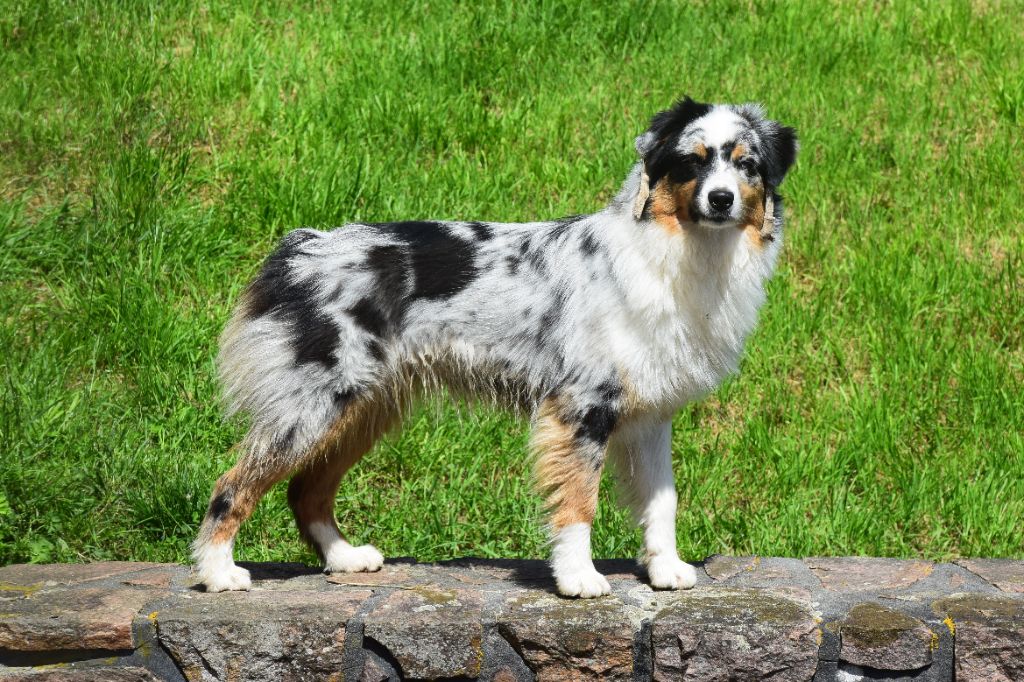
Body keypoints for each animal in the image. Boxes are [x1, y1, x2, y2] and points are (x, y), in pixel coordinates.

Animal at [193, 95, 798, 593]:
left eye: (746, 164)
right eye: (692, 162)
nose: (720, 199)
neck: (679, 254)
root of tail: (300, 247)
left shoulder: (649, 414)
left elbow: (662, 501)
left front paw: (666, 570)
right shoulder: (581, 407)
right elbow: (578, 501)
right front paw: (579, 579)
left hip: (365, 408)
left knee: (306, 490)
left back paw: (344, 558)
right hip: (313, 405)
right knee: (233, 484)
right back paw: (219, 572)